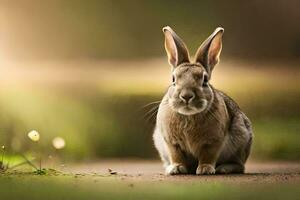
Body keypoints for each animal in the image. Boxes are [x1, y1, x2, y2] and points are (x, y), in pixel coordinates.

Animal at [152, 26, 253, 175]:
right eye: (173, 79)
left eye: (205, 80)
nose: (186, 96)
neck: (188, 116)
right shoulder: (171, 142)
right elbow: (176, 155)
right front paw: (177, 168)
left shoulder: (213, 142)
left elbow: (208, 155)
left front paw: (205, 169)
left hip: (242, 137)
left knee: (240, 165)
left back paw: (223, 168)